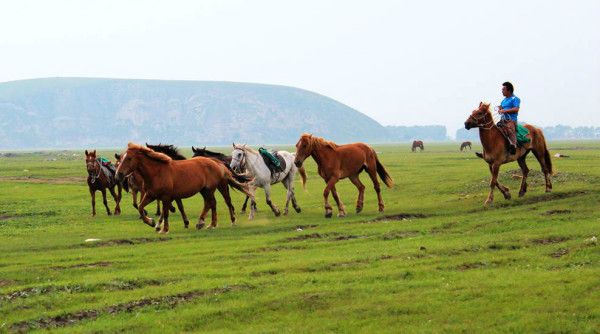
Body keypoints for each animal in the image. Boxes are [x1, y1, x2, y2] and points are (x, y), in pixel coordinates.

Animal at [115, 143, 253, 232]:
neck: (157, 172)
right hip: (205, 190)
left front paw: (164, 228)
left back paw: (223, 221)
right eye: (120, 159)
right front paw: (152, 222)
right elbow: (140, 207)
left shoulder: (166, 196)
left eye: (129, 158)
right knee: (211, 203)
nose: (118, 174)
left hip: (214, 188)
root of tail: (216, 161)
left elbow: (166, 212)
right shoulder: (151, 195)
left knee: (220, 202)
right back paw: (207, 224)